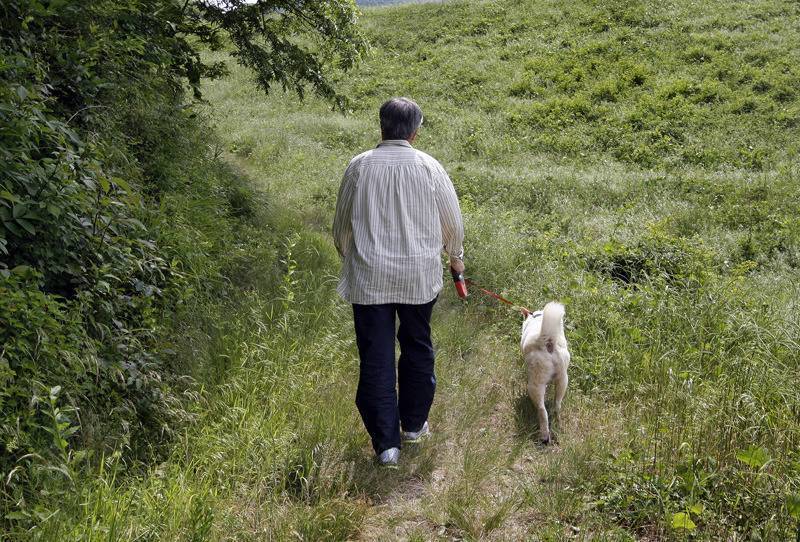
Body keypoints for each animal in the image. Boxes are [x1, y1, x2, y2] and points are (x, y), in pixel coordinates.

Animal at [520, 302, 572, 446]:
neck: (537, 317)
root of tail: (547, 341)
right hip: (563, 379)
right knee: (557, 405)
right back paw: (558, 424)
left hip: (535, 385)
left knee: (542, 411)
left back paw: (544, 435)